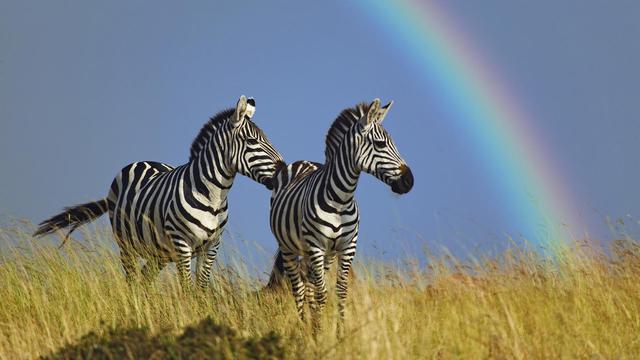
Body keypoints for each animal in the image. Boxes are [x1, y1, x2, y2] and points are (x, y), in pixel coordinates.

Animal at [268, 97, 412, 334]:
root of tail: (302, 161)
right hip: (289, 248)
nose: (410, 181)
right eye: (380, 144)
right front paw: (319, 334)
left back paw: (312, 324)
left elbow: (340, 292)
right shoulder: (316, 246)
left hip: (322, 254)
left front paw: (339, 333)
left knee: (309, 288)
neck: (341, 199)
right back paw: (305, 327)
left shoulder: (347, 247)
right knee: (300, 289)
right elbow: (321, 293)